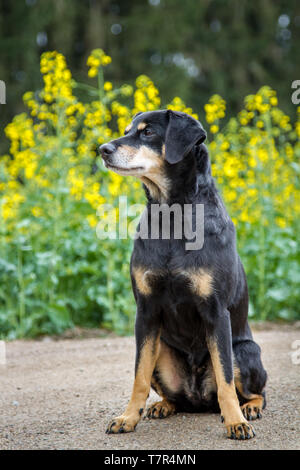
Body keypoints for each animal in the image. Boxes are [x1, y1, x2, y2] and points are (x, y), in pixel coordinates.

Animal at [99, 110, 266, 440]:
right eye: (127, 130)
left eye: (148, 132)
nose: (102, 149)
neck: (172, 216)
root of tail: (198, 400)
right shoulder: (146, 311)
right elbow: (138, 376)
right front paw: (128, 418)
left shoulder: (216, 312)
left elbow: (226, 380)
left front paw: (236, 422)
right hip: (162, 350)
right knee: (173, 395)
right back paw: (162, 406)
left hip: (245, 351)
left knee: (253, 391)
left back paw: (249, 409)